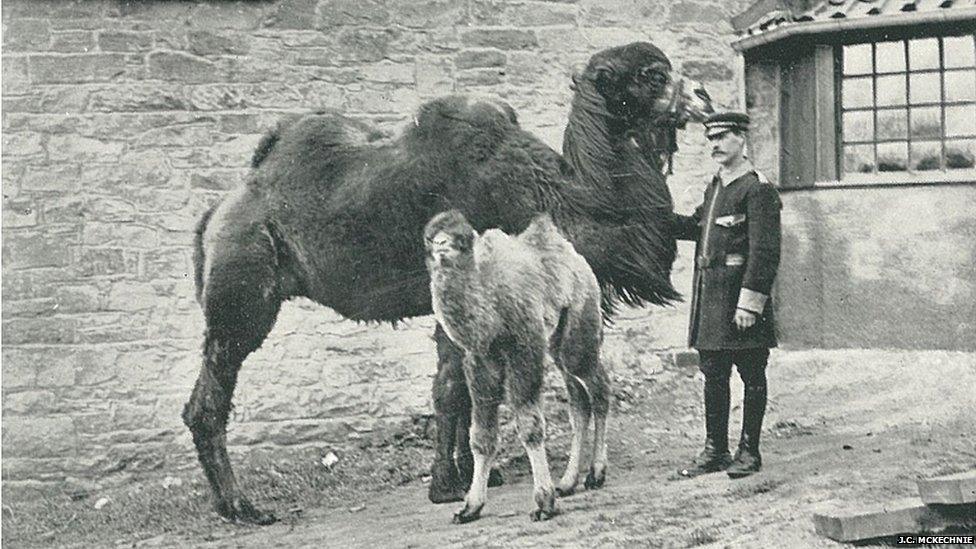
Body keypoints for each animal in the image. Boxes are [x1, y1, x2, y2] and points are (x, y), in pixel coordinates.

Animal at [425, 210, 608, 523]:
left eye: (461, 239)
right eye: (429, 237)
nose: (441, 246)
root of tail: (574, 255)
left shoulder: (524, 348)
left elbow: (530, 427)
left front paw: (543, 503)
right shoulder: (479, 361)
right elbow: (481, 435)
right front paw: (470, 507)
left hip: (579, 324)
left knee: (598, 389)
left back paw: (595, 474)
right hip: (557, 341)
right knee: (578, 401)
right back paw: (568, 482)